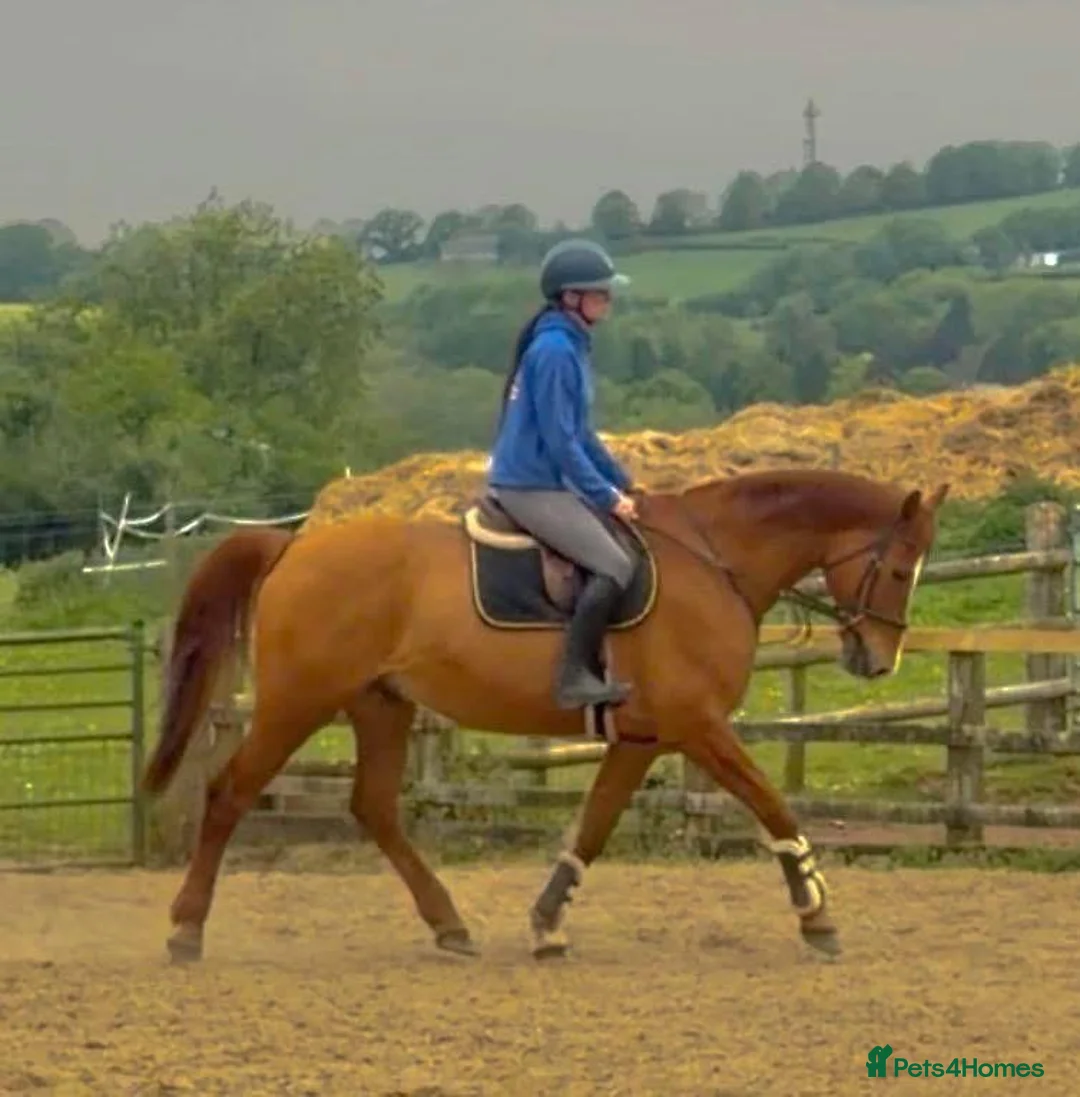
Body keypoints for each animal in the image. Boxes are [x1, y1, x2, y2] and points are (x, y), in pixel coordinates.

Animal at [141, 467, 948, 965]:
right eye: (898, 568)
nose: (879, 660)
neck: (711, 560)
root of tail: (294, 543)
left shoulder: (644, 736)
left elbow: (592, 826)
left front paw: (548, 924)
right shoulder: (699, 725)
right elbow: (773, 804)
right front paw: (817, 915)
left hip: (380, 705)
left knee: (373, 807)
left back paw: (450, 924)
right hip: (297, 702)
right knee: (230, 792)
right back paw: (185, 927)